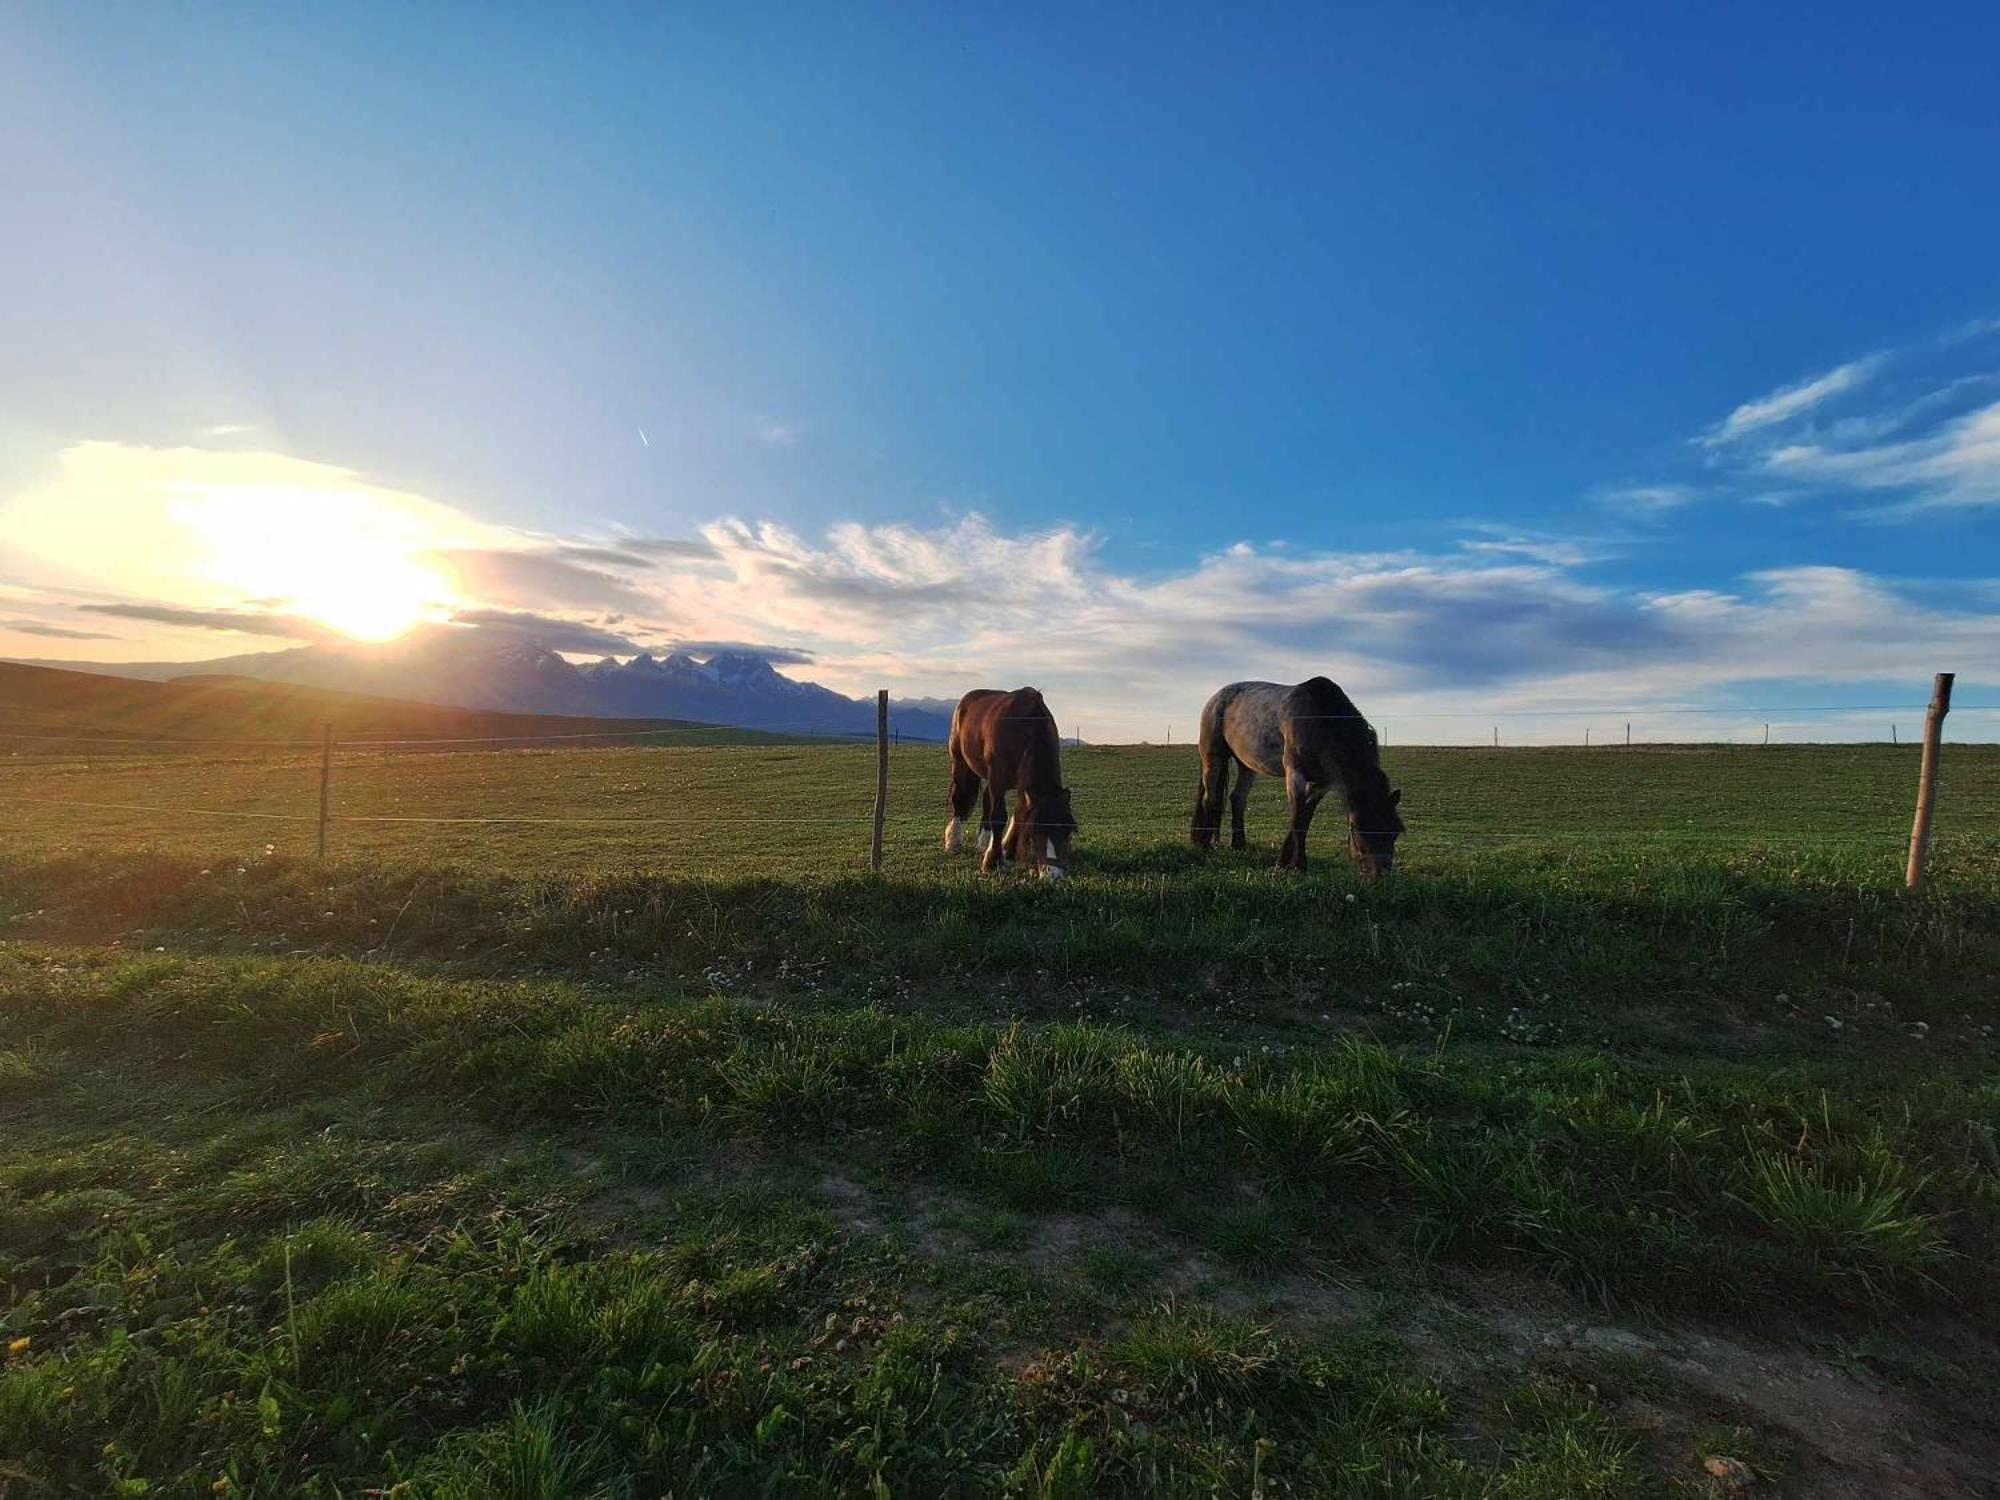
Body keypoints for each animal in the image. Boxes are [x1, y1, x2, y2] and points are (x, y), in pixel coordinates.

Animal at [948, 692, 1080, 880]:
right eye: (1035, 832)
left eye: (1068, 831)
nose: (1054, 876)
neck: (1023, 729)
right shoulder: (997, 779)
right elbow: (999, 817)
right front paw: (992, 861)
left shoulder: (1021, 783)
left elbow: (1019, 814)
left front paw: (1007, 852)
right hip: (961, 763)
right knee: (960, 797)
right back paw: (953, 841)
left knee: (986, 799)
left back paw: (983, 843)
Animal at [1184, 680, 1408, 876]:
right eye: (1359, 830)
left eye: (1394, 832)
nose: (1380, 877)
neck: (1319, 719)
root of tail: (1215, 698)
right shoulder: (1295, 774)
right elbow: (1297, 817)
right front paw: (1296, 865)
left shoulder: (1322, 783)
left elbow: (1305, 817)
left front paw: (1287, 861)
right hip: (1213, 757)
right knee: (1211, 799)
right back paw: (1204, 844)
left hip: (1247, 765)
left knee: (1237, 799)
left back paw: (1239, 844)